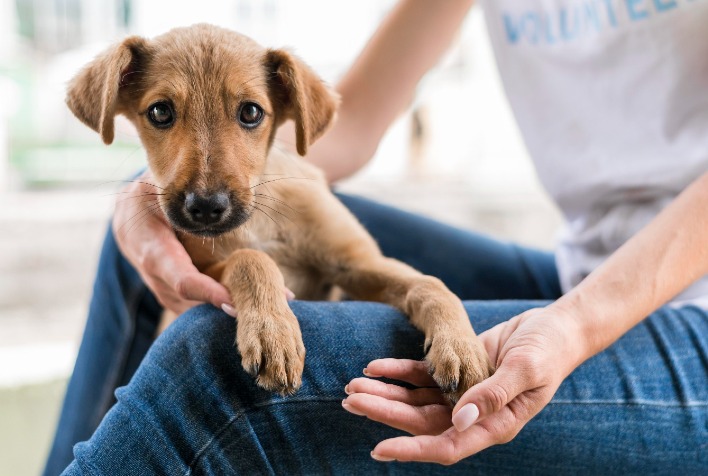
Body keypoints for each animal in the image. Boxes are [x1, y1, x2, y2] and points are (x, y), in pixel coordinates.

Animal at [69, 24, 496, 404]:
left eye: (251, 112)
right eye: (160, 112)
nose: (205, 207)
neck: (261, 220)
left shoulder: (358, 264)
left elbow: (430, 285)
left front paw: (462, 347)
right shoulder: (201, 272)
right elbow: (250, 259)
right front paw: (273, 333)